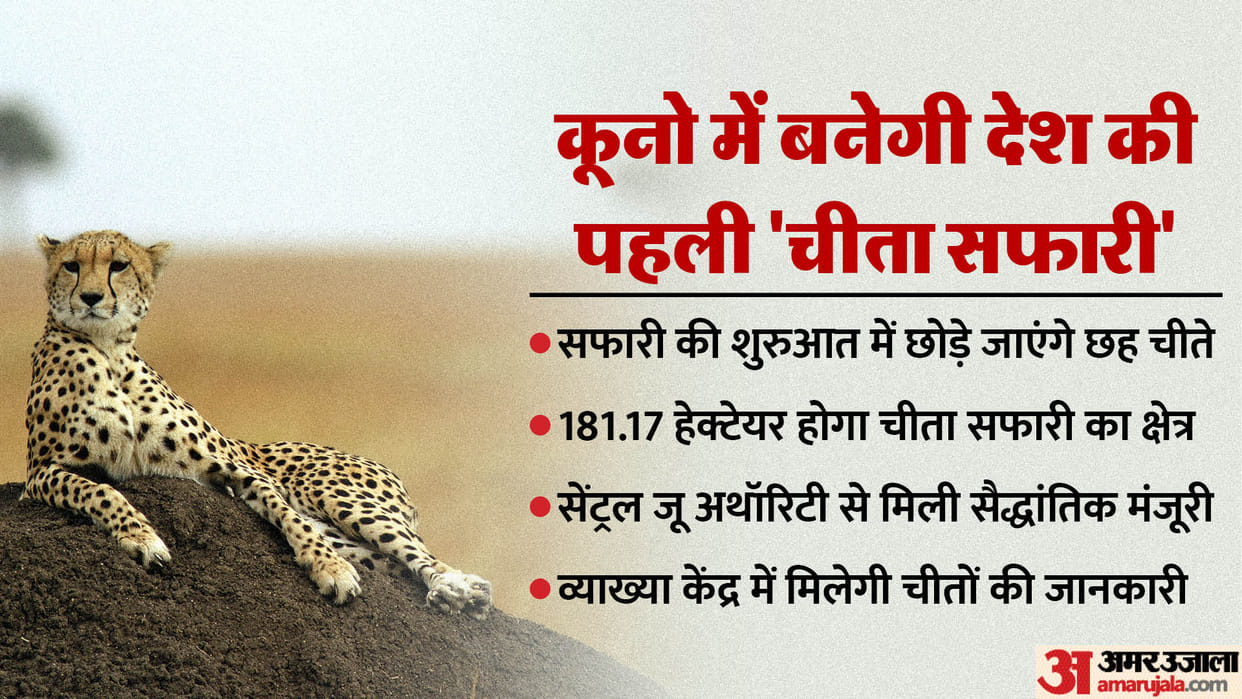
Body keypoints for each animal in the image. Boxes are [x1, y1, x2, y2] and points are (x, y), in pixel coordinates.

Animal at [22, 229, 491, 618]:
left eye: (118, 265)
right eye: (72, 265)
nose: (90, 297)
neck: (109, 351)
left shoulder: (234, 470)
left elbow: (288, 516)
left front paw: (330, 569)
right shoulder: (39, 474)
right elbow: (99, 490)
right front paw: (142, 539)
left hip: (339, 497)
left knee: (419, 553)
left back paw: (456, 589)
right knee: (391, 563)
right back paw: (460, 592)